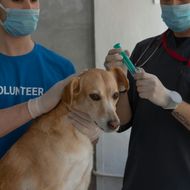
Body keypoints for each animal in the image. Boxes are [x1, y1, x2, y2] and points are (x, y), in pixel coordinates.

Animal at [0, 68, 129, 190]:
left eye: (115, 95)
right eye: (95, 96)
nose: (115, 124)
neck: (75, 132)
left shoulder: (82, 181)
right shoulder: (53, 186)